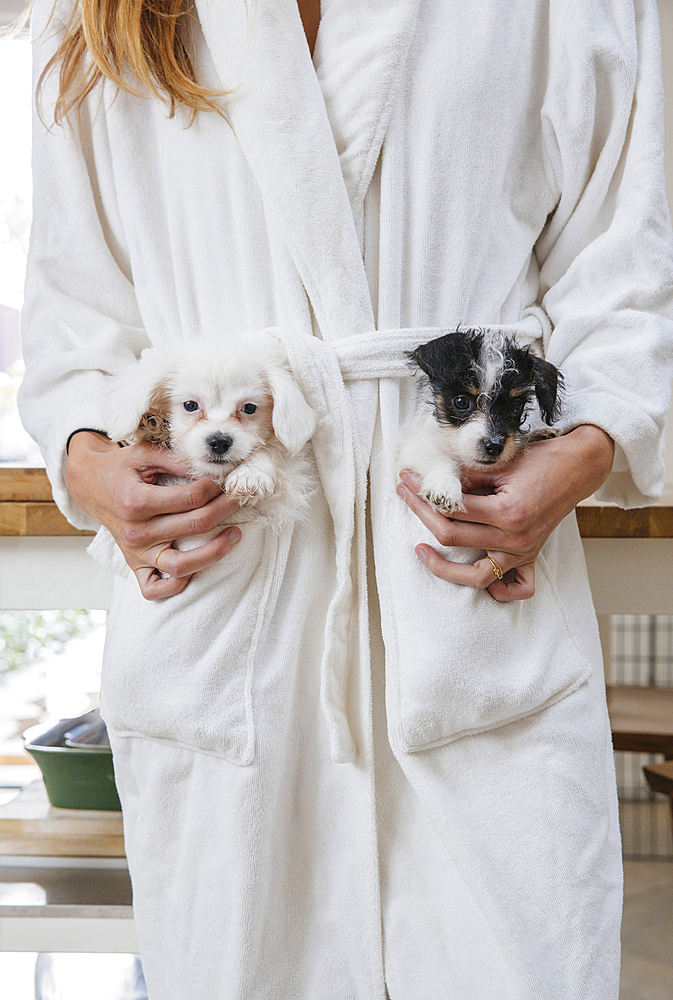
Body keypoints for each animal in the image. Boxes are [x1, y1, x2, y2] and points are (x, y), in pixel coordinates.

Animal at [103, 332, 318, 528]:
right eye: (190, 405)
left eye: (249, 408)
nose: (219, 442)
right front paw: (155, 426)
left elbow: (273, 449)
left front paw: (250, 474)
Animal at [400, 330, 560, 516]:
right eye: (461, 402)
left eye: (516, 406)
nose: (495, 446)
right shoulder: (411, 450)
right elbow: (439, 458)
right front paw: (444, 487)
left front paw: (538, 435)